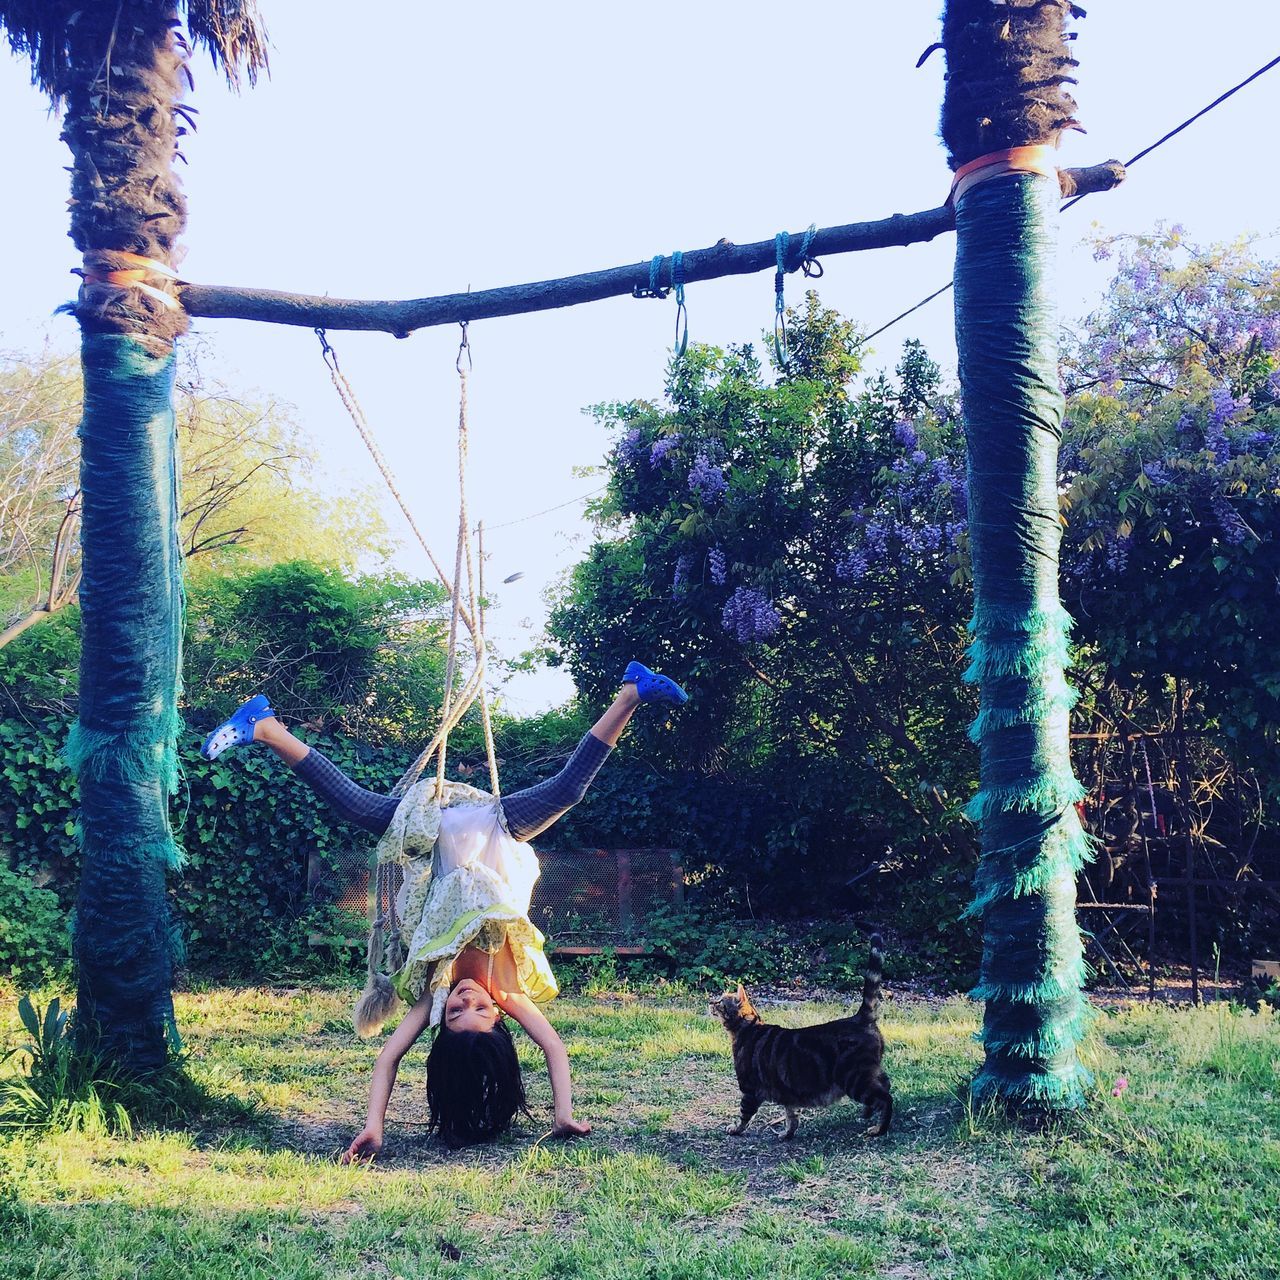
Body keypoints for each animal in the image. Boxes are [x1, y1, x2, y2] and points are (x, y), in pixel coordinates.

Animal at [711, 931, 890, 1141]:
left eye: (720, 1001)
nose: (710, 1002)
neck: (748, 1029)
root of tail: (859, 1018)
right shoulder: (786, 1091)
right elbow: (791, 1115)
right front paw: (788, 1133)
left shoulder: (749, 1089)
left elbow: (744, 1114)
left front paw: (736, 1129)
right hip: (868, 1074)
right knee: (886, 1084)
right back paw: (868, 1113)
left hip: (855, 1079)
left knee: (886, 1098)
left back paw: (879, 1129)